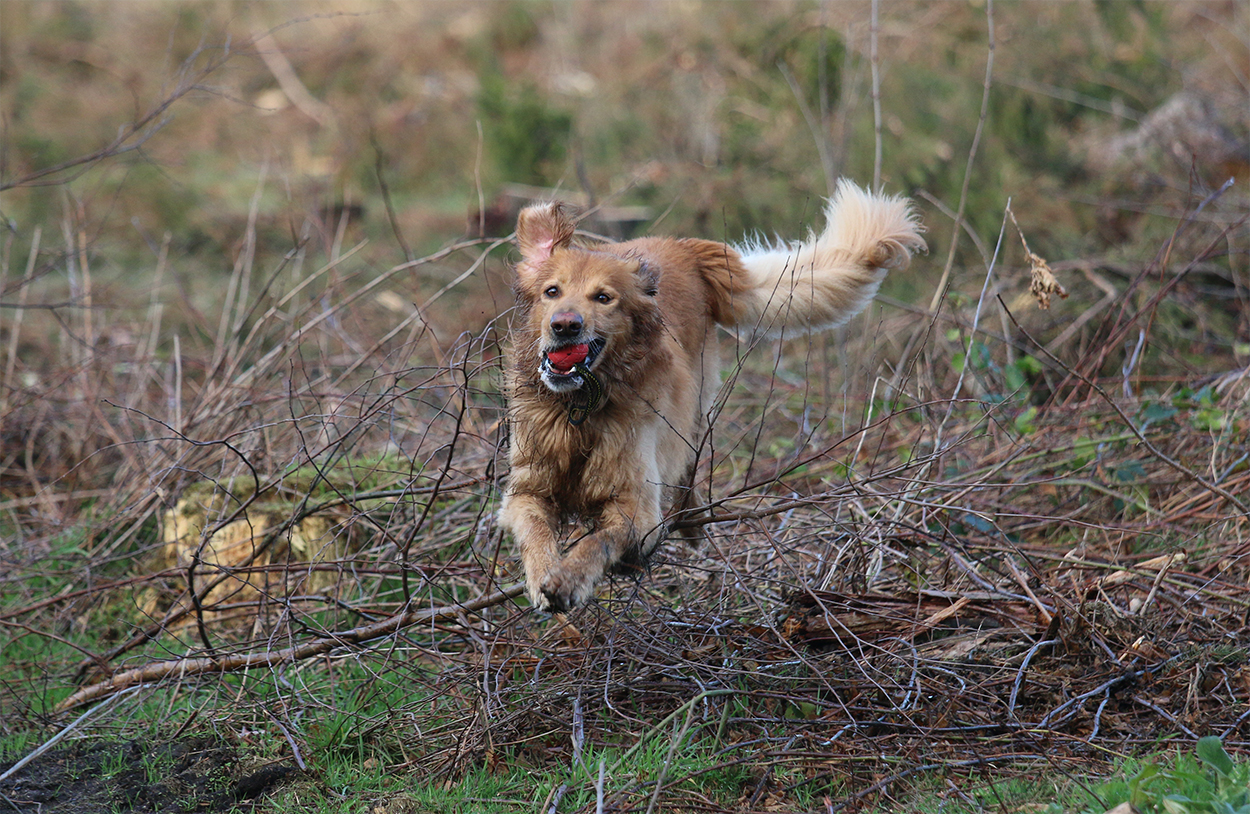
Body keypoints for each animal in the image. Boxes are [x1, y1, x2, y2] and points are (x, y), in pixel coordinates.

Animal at [499, 180, 925, 612]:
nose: (564, 325)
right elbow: (535, 531)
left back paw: (685, 528)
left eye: (603, 297)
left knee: (688, 471)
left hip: (694, 413)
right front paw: (542, 573)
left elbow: (599, 541)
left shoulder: (637, 507)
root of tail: (684, 247)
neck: (580, 407)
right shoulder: (526, 489)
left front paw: (569, 578)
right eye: (552, 291)